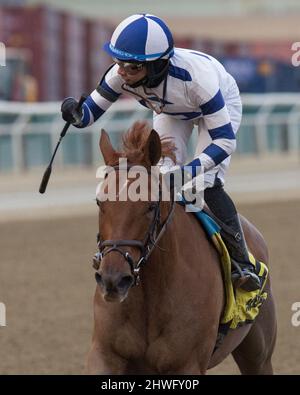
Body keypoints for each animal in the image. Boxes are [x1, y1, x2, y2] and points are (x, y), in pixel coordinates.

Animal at [86, 122, 276, 376]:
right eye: (100, 202)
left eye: (150, 205)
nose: (113, 280)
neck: (150, 296)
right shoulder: (104, 356)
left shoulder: (187, 364)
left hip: (258, 356)